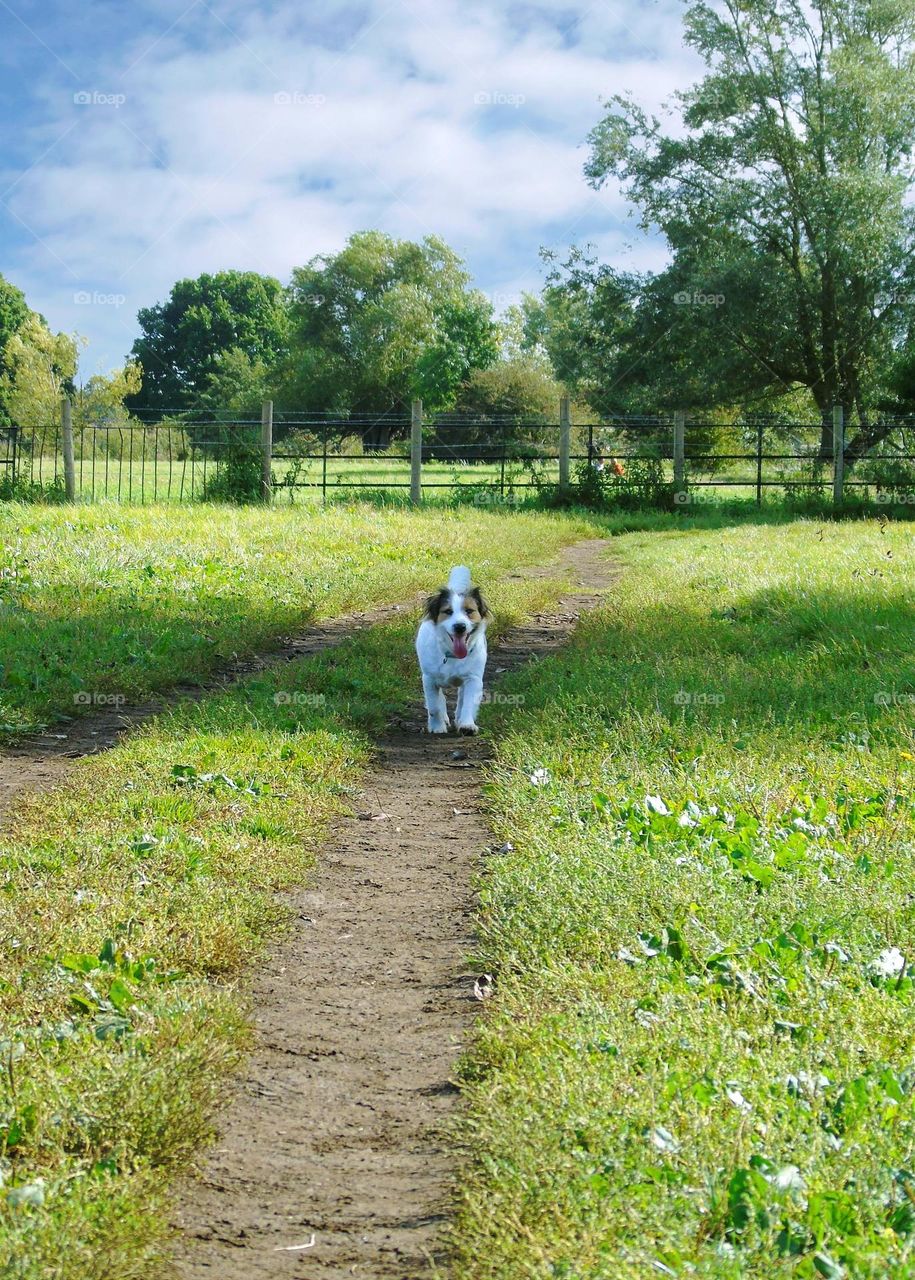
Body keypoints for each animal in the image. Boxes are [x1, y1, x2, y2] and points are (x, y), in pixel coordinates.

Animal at [417, 565, 491, 737]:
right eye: (448, 611)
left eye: (469, 611)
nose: (460, 626)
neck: (451, 655)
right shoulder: (429, 678)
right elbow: (434, 706)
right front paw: (437, 726)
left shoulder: (473, 679)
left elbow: (468, 703)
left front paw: (467, 724)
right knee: (439, 701)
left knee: (461, 698)